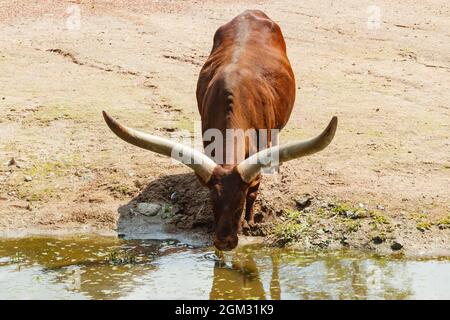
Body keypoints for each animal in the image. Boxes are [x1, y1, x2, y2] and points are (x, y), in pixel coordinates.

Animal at [103, 9, 336, 250]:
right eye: (212, 202)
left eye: (238, 203)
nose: (224, 242)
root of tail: (252, 11)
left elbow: (254, 192)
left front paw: (250, 222)